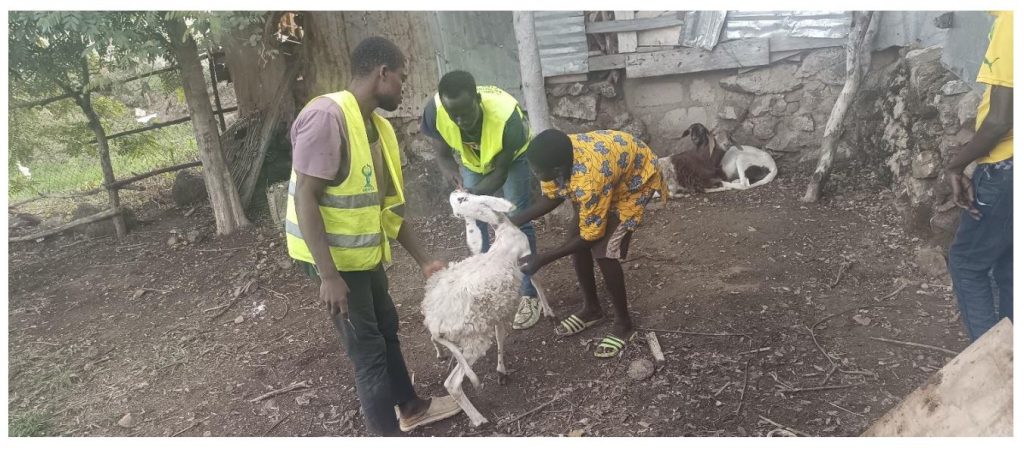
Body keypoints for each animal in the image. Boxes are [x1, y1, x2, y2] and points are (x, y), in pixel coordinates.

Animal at [419, 190, 557, 426]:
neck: (502, 229)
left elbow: (500, 335)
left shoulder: (496, 310)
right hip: (474, 340)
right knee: (452, 384)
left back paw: (440, 352)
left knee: (433, 339)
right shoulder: (527, 257)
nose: (456, 191)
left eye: (459, 203)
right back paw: (478, 419)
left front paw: (502, 370)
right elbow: (537, 281)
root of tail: (436, 324)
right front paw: (549, 312)